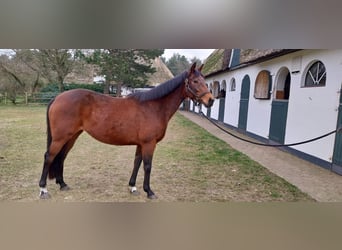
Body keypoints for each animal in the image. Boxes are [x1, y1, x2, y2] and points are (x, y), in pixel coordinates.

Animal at [38, 62, 214, 199]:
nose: (210, 100)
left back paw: (62, 184)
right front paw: (149, 191)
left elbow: (137, 163)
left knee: (61, 157)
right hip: (60, 137)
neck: (153, 107)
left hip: (72, 136)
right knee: (49, 156)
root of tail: (58, 97)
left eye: (205, 81)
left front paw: (133, 187)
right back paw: (43, 189)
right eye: (195, 81)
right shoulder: (149, 143)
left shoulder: (141, 144)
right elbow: (147, 166)